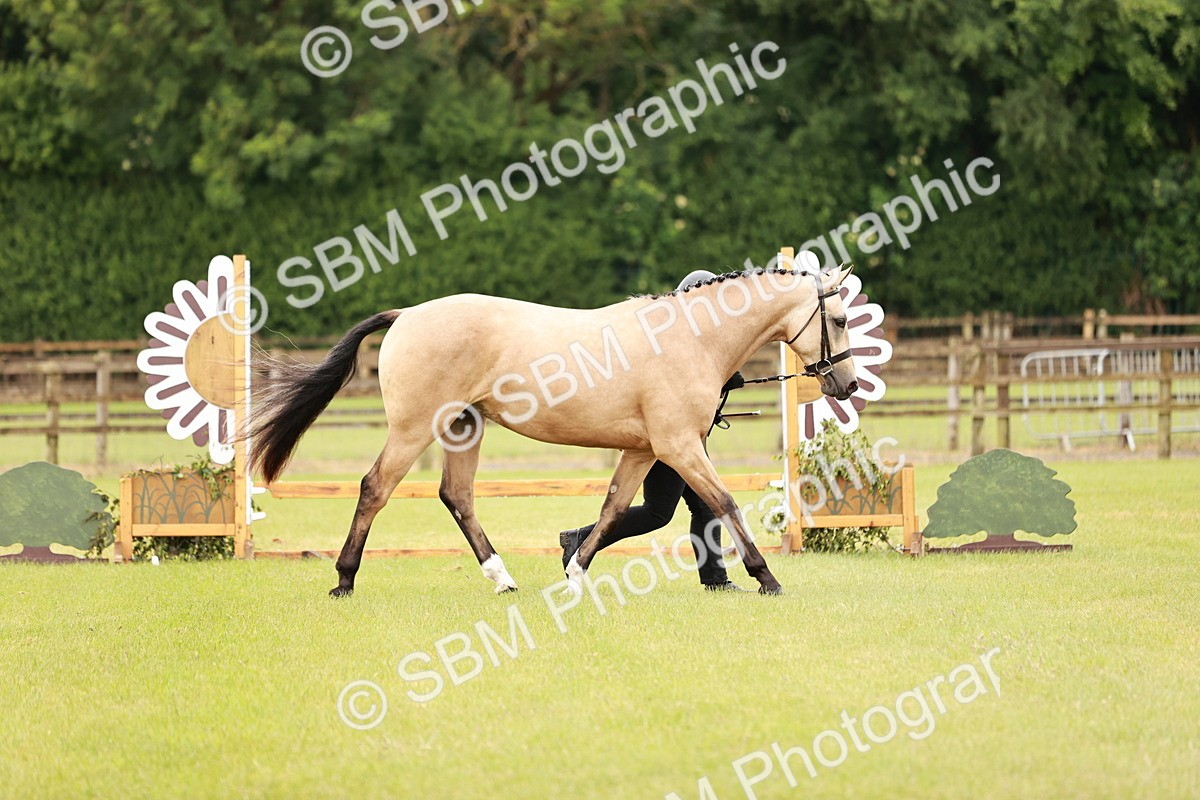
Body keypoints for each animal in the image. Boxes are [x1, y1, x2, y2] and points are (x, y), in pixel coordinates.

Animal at [250, 257, 858, 597]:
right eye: (841, 318)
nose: (847, 385)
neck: (689, 337)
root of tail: (408, 314)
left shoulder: (644, 451)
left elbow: (613, 508)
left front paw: (575, 572)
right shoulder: (681, 446)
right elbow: (726, 503)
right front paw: (766, 578)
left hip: (463, 428)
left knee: (457, 496)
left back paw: (502, 578)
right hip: (412, 430)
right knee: (375, 488)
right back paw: (344, 579)